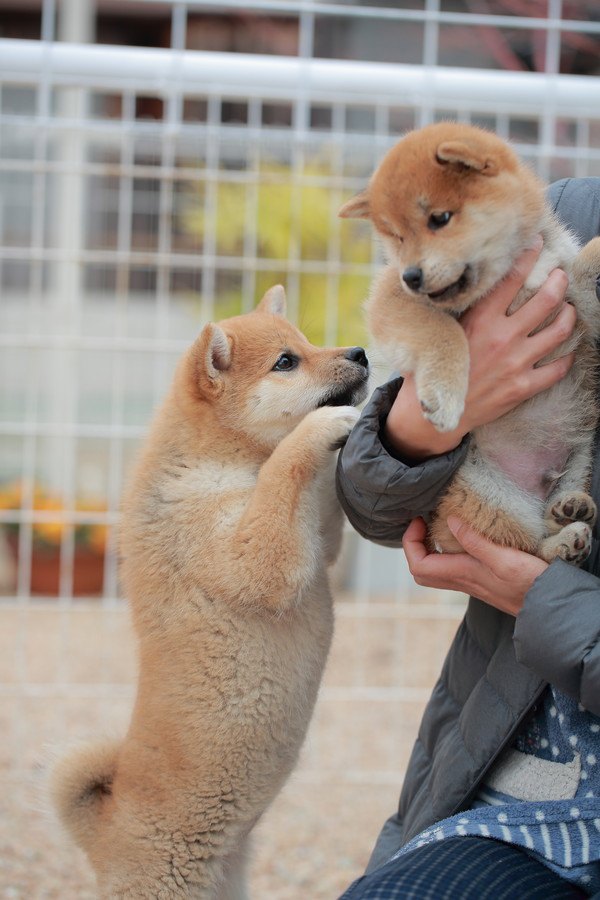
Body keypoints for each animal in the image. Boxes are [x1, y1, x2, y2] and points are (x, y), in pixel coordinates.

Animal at [50, 290, 370, 900]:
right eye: (286, 362)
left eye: (308, 340)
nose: (361, 353)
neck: (213, 462)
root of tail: (102, 832)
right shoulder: (253, 559)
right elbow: (287, 467)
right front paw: (323, 427)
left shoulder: (314, 540)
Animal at [340, 121, 600, 564]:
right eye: (396, 237)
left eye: (439, 219)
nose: (411, 276)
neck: (508, 269)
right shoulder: (395, 299)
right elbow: (443, 333)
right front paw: (444, 395)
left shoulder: (575, 293)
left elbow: (585, 264)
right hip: (488, 495)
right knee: (521, 549)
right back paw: (566, 539)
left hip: (580, 461)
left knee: (541, 533)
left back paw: (571, 511)